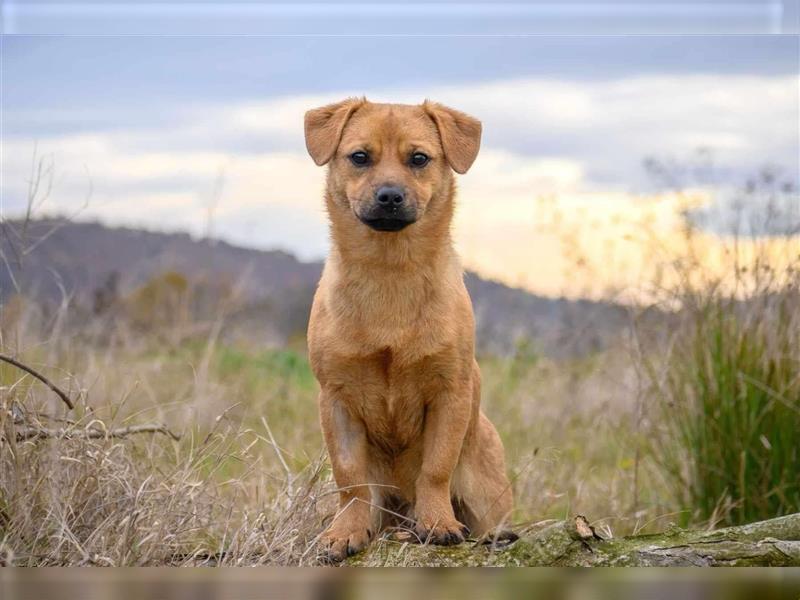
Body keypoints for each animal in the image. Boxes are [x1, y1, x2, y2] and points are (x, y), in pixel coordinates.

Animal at [304, 96, 516, 560]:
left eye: (419, 159)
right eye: (359, 157)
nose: (389, 195)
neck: (390, 274)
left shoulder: (449, 393)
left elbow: (435, 469)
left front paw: (437, 523)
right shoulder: (336, 400)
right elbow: (350, 479)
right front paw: (345, 531)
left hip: (487, 498)